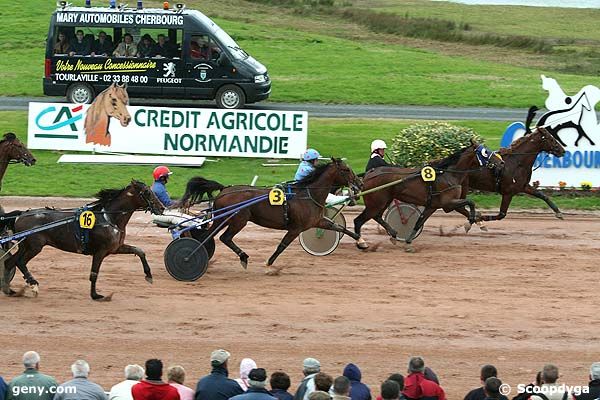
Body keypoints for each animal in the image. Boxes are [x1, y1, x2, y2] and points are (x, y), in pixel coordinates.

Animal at [0, 180, 164, 300]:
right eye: (147, 192)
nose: (162, 207)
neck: (109, 218)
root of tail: (21, 214)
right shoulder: (100, 251)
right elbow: (94, 273)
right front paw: (95, 295)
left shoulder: (116, 248)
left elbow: (140, 251)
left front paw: (149, 275)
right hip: (35, 246)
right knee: (20, 262)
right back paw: (33, 285)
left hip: (25, 246)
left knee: (10, 262)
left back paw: (9, 290)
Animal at [204, 159, 360, 276]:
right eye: (346, 169)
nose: (359, 183)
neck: (307, 195)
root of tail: (224, 190)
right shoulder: (296, 229)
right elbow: (281, 246)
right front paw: (268, 265)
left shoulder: (317, 221)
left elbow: (339, 227)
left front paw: (361, 241)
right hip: (238, 220)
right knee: (225, 238)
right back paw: (243, 257)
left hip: (221, 219)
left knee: (208, 235)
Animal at [354, 141, 504, 250]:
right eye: (485, 152)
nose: (502, 162)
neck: (447, 173)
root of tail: (368, 176)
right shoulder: (447, 203)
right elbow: (470, 202)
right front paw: (471, 223)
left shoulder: (435, 205)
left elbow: (419, 222)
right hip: (376, 203)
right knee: (359, 220)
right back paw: (361, 242)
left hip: (383, 201)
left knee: (377, 216)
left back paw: (393, 234)